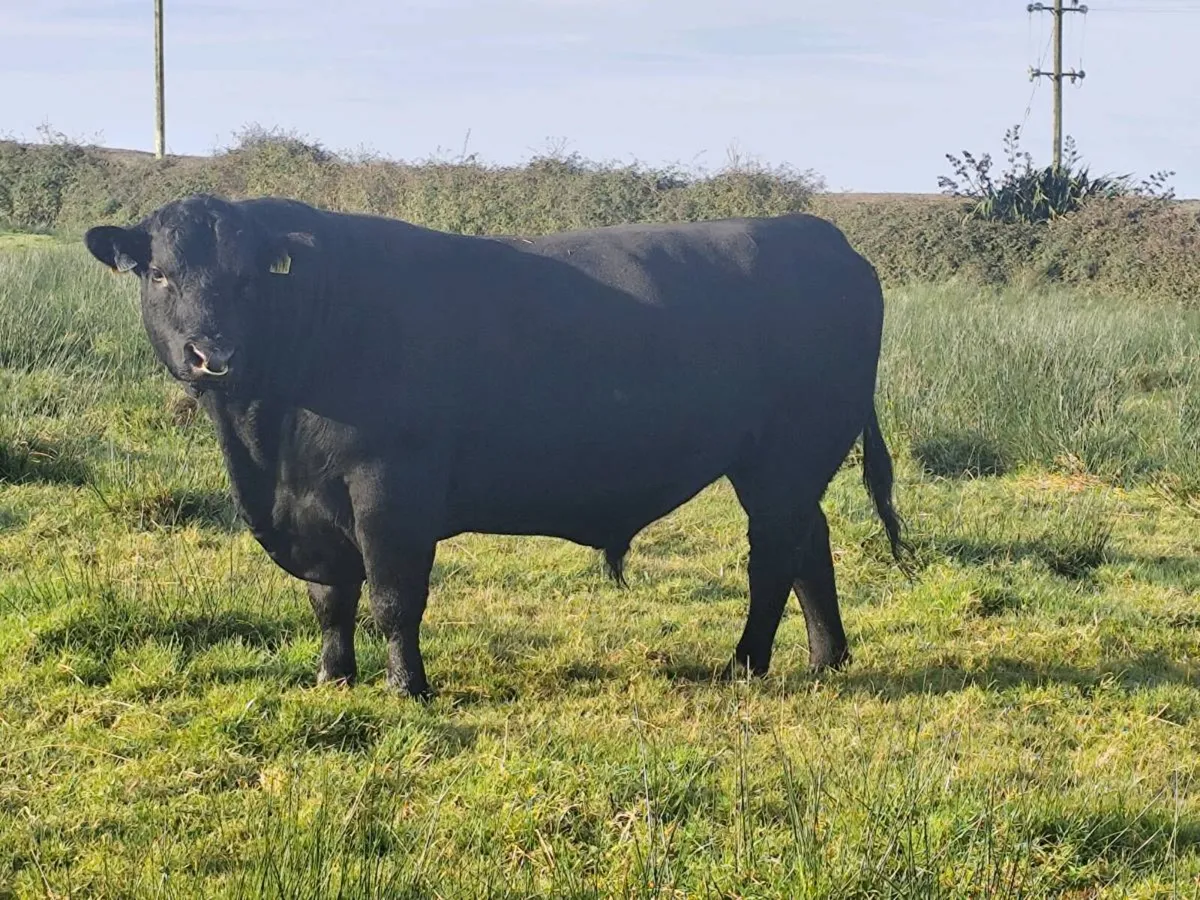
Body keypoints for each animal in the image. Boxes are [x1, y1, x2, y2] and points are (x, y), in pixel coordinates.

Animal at [83, 194, 907, 700]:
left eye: (249, 279)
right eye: (160, 274)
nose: (211, 352)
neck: (267, 442)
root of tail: (818, 233)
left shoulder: (392, 489)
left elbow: (392, 596)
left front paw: (407, 689)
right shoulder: (311, 506)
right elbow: (330, 600)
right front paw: (333, 678)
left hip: (786, 454)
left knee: (772, 556)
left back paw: (745, 663)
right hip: (782, 462)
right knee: (810, 543)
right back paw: (826, 657)